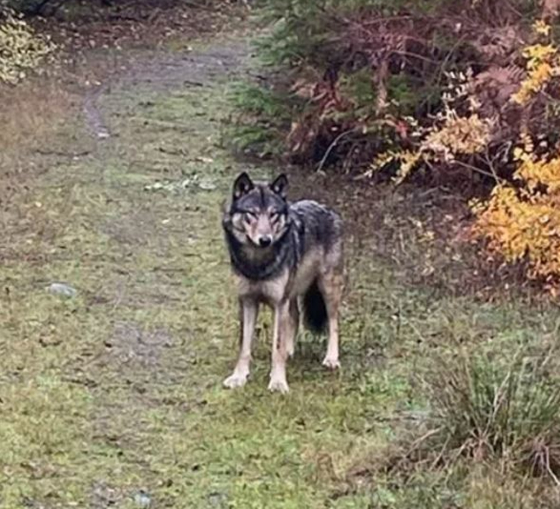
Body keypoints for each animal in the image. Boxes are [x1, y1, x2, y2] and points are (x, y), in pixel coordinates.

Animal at [221, 172, 344, 392]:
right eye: (252, 214)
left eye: (273, 214)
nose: (265, 240)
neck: (258, 262)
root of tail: (326, 208)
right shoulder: (247, 301)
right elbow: (244, 346)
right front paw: (239, 377)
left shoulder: (279, 303)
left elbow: (276, 346)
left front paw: (278, 382)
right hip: (292, 292)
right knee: (295, 316)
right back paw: (290, 352)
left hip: (327, 288)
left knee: (333, 321)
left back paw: (331, 359)